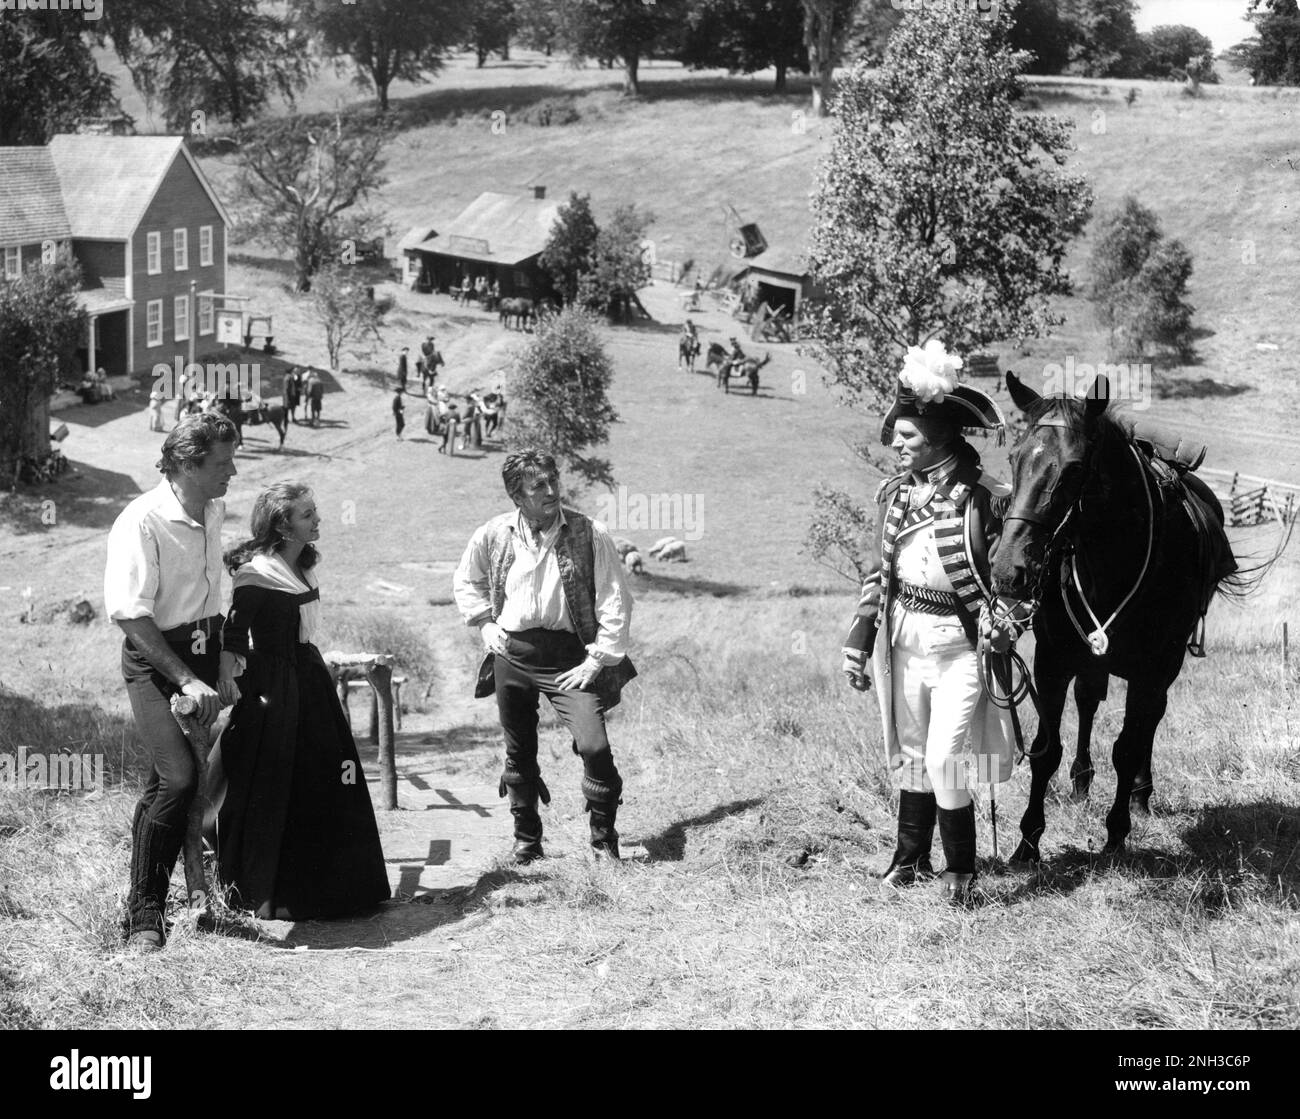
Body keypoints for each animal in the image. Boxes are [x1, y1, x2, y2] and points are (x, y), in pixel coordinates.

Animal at [987, 374, 1242, 857]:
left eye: (1073, 469)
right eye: (1013, 458)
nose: (1009, 570)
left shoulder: (1153, 669)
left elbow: (1127, 747)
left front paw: (1116, 835)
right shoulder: (1052, 661)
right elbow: (1047, 749)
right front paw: (1027, 843)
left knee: (1149, 722)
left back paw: (1141, 793)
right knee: (1089, 702)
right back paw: (1081, 783)